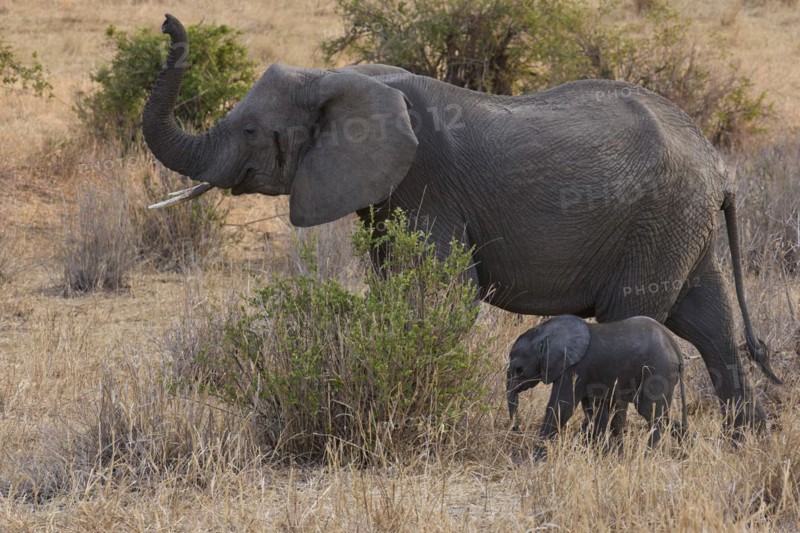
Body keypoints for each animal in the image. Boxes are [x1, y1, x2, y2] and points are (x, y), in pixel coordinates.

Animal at [142, 14, 780, 430]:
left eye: (251, 130)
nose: (168, 25)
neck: (334, 75)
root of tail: (718, 167)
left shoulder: (428, 186)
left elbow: (443, 296)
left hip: (658, 221)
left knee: (635, 318)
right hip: (680, 224)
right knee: (711, 323)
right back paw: (744, 439)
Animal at [506, 315, 688, 450]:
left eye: (519, 369)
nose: (517, 428)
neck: (546, 332)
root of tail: (677, 351)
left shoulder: (573, 369)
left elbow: (561, 406)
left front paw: (539, 451)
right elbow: (593, 410)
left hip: (658, 370)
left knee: (651, 412)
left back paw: (651, 454)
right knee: (659, 415)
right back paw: (686, 445)